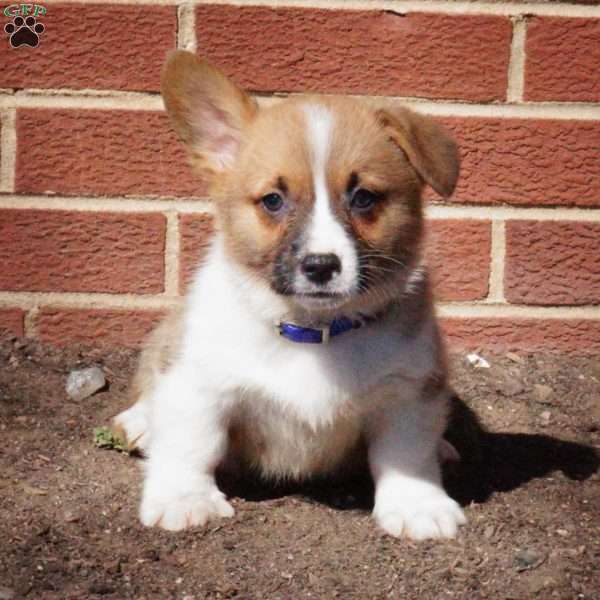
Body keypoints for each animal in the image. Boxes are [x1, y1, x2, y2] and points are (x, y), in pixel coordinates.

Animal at [115, 50, 466, 540]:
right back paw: (140, 424)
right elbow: (192, 444)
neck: (311, 330)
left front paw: (419, 506)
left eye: (363, 197)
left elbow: (407, 457)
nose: (320, 266)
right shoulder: (199, 383)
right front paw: (184, 499)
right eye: (273, 201)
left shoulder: (408, 392)